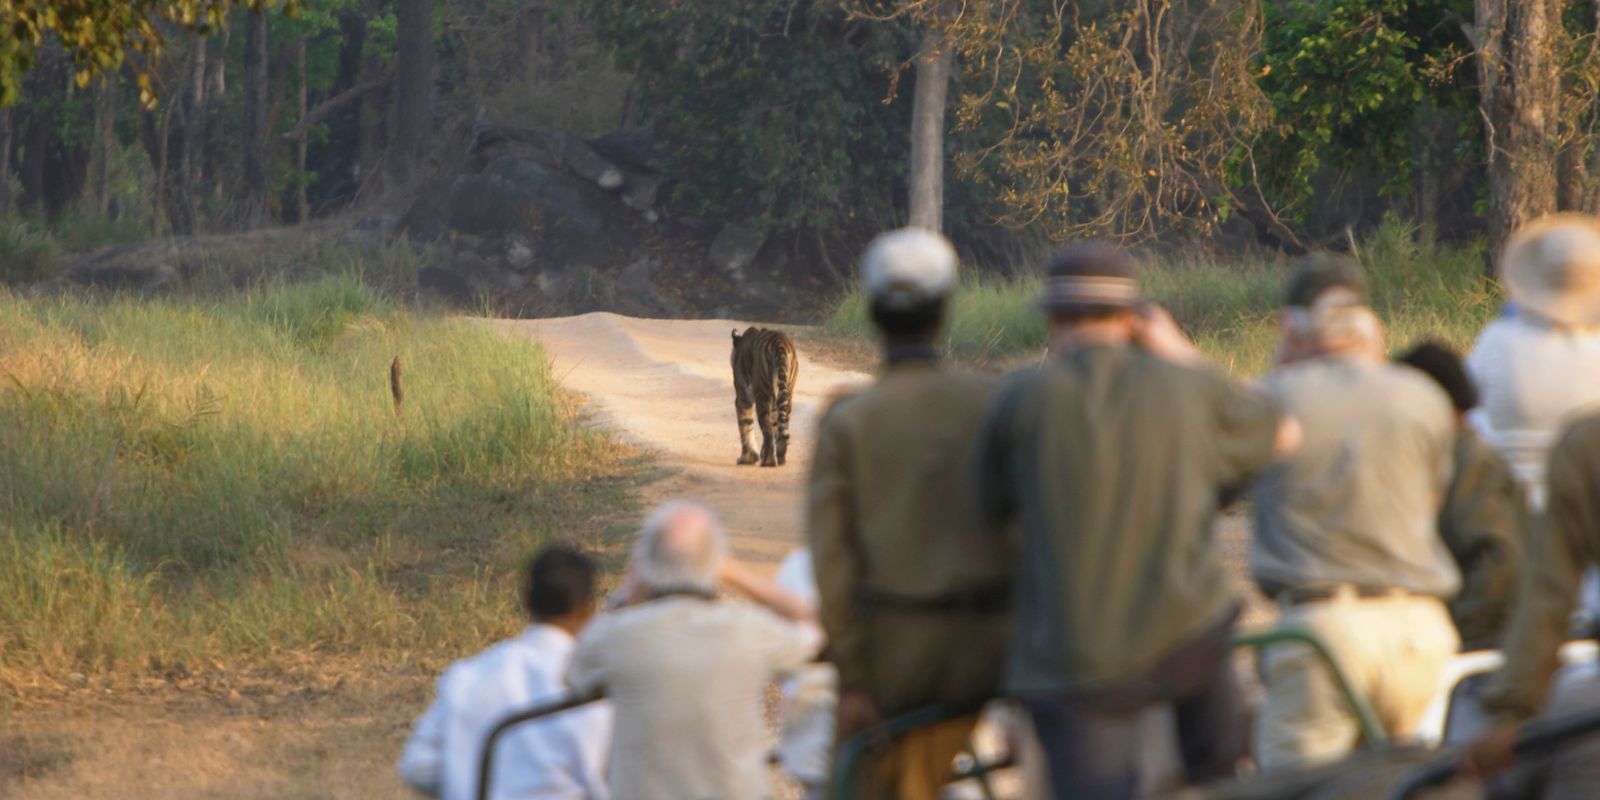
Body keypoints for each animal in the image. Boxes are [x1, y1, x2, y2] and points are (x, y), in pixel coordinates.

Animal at [730, 326, 800, 467]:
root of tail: (780, 342)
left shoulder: (743, 397)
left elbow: (745, 425)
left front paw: (747, 458)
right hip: (787, 394)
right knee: (781, 428)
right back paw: (780, 458)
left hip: (762, 396)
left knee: (768, 431)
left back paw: (768, 462)